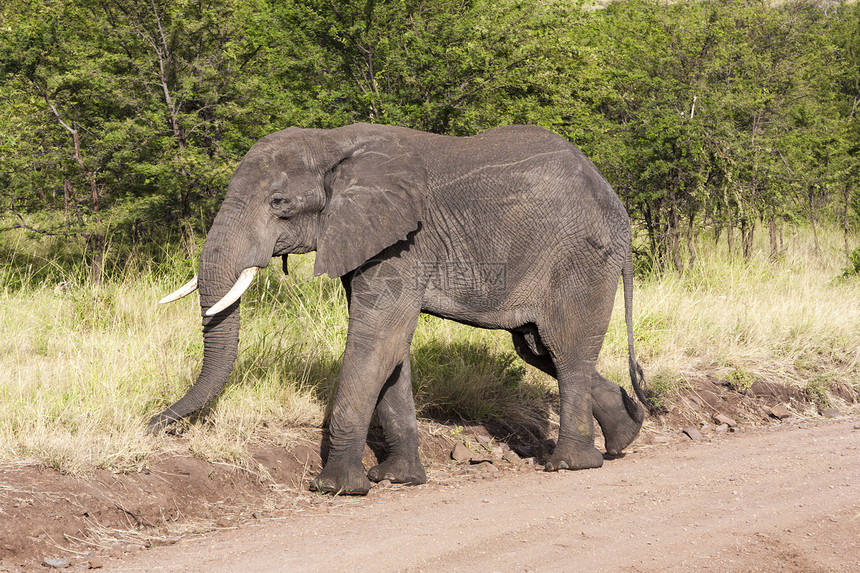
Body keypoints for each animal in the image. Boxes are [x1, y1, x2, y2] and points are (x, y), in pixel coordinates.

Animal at [155, 123, 656, 494]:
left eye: (279, 203)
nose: (154, 423)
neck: (332, 143)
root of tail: (619, 212)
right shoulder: (372, 241)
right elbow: (393, 348)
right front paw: (398, 480)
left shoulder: (403, 242)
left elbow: (376, 341)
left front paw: (337, 488)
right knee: (538, 348)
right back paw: (626, 434)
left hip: (581, 258)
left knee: (564, 348)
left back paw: (570, 464)